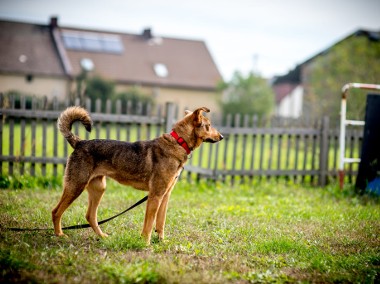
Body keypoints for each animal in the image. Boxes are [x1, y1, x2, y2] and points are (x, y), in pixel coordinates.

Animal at [51, 106, 223, 244]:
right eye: (208, 126)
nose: (221, 136)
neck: (179, 142)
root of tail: (79, 142)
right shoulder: (155, 195)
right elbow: (149, 224)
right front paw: (146, 244)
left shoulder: (165, 196)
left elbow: (160, 223)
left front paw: (162, 241)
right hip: (76, 186)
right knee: (56, 211)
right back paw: (59, 235)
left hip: (98, 188)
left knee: (90, 216)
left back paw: (102, 236)